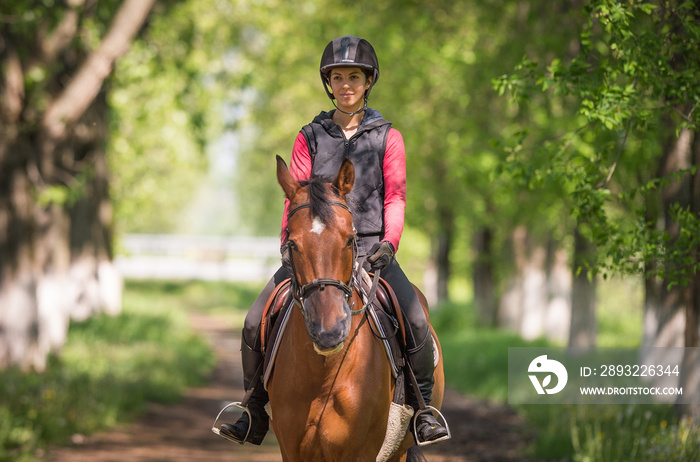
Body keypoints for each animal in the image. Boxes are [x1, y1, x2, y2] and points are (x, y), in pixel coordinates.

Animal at [268, 156, 442, 462]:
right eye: (292, 243)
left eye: (350, 239)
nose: (329, 331)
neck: (324, 376)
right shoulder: (291, 452)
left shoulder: (362, 452)